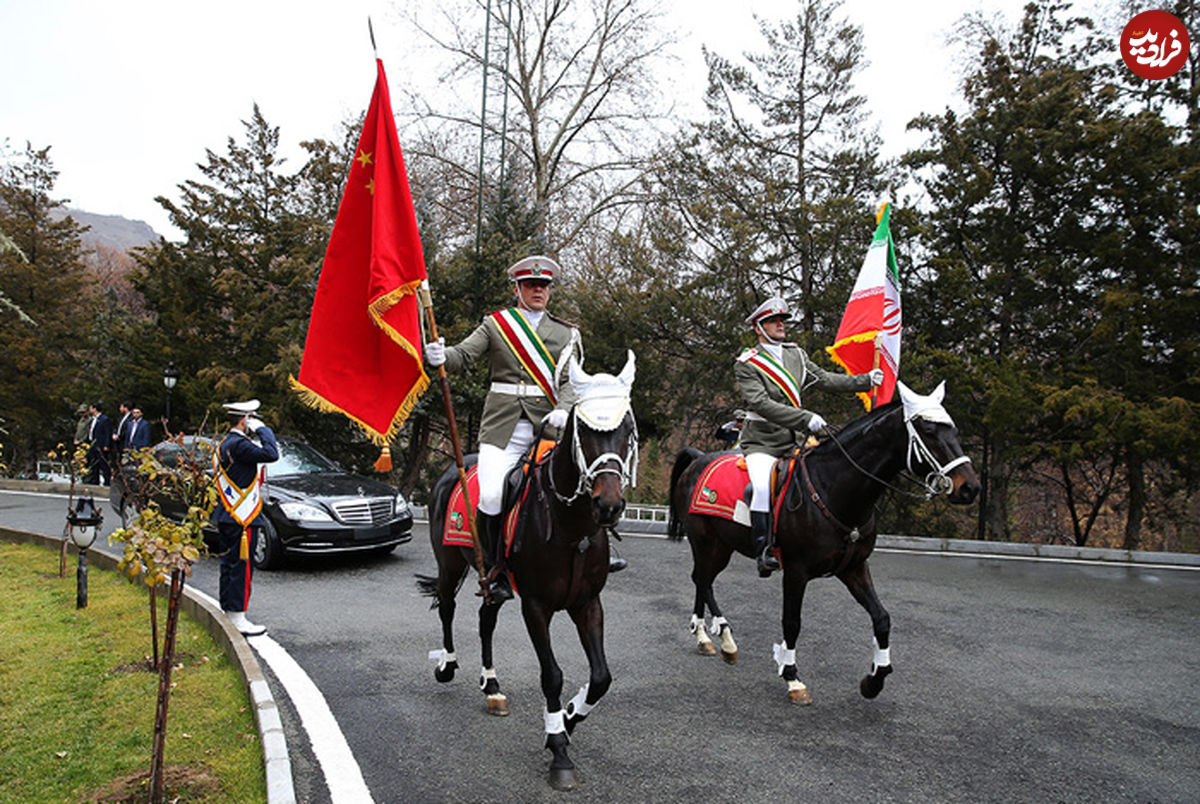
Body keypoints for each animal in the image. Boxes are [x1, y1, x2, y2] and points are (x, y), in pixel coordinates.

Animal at [417, 355, 638, 792]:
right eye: (584, 429)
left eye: (627, 429)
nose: (608, 505)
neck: (572, 528)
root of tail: (455, 468)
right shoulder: (536, 605)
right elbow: (551, 675)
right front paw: (559, 749)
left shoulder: (588, 603)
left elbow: (601, 677)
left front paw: (569, 717)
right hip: (450, 563)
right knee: (448, 608)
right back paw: (447, 666)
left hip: (492, 581)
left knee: (486, 618)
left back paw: (492, 686)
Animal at [672, 381, 979, 705]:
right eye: (928, 430)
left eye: (953, 429)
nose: (970, 487)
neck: (834, 487)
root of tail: (699, 458)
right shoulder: (796, 572)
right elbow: (792, 622)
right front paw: (792, 677)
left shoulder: (854, 568)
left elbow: (882, 618)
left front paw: (875, 678)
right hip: (707, 543)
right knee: (702, 579)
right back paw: (716, 637)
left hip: (721, 545)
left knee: (702, 580)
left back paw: (713, 638)